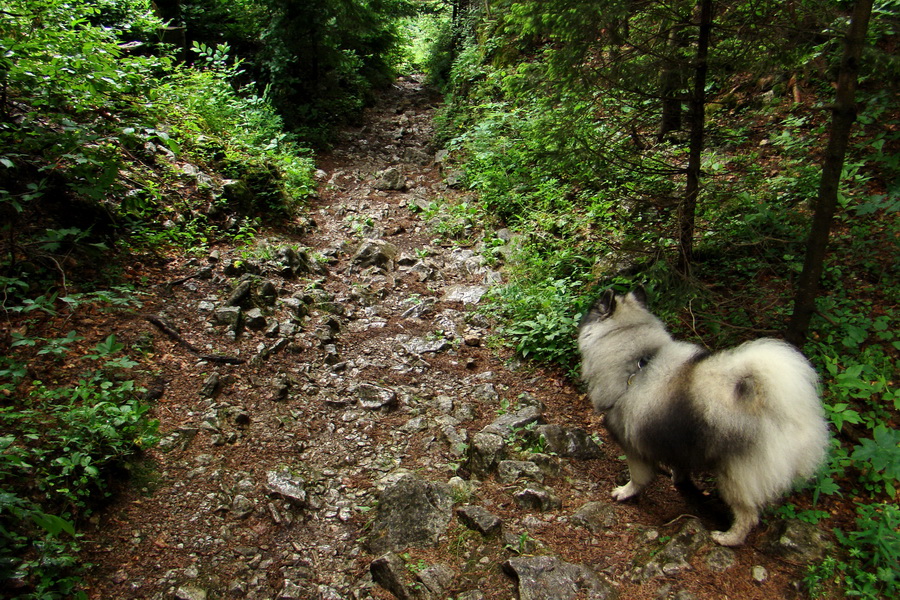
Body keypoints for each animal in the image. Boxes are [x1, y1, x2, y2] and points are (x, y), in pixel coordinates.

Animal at [576, 288, 828, 548]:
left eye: (594, 308)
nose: (582, 314)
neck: (639, 362)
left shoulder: (633, 446)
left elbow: (638, 477)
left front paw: (625, 492)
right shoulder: (676, 440)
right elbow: (679, 465)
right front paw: (676, 477)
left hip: (735, 475)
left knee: (747, 514)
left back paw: (728, 538)